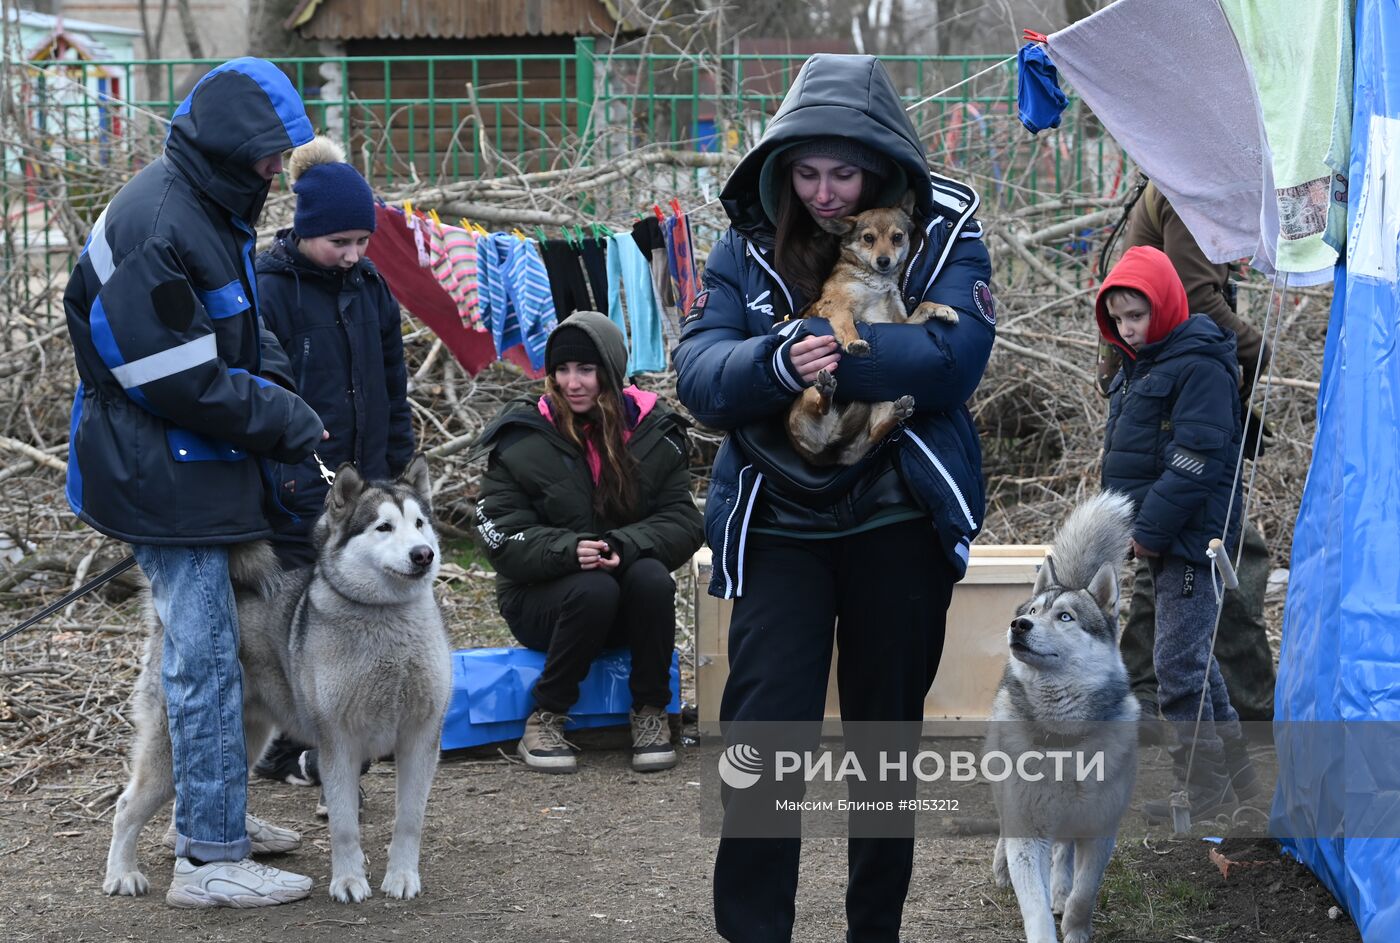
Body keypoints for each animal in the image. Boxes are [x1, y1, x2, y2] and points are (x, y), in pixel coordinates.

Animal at [789, 193, 963, 464]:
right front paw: (854, 342)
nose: (883, 261)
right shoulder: (837, 306)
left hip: (876, 411)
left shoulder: (898, 322)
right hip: (807, 396)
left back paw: (897, 412)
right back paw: (827, 389)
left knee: (873, 434)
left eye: (897, 237)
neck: (878, 282)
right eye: (868, 238)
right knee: (819, 406)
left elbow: (923, 306)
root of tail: (830, 449)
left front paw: (942, 309)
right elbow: (847, 325)